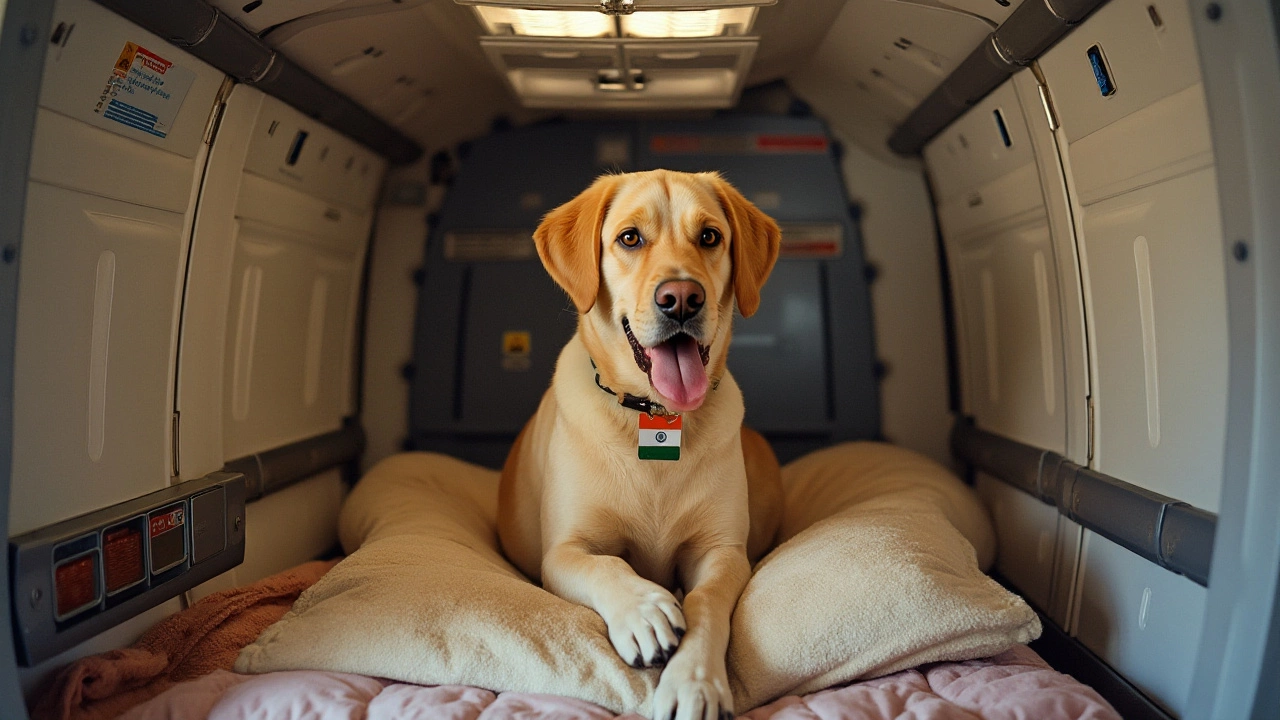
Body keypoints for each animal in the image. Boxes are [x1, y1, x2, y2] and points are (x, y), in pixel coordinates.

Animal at [496, 169, 778, 717]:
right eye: (630, 238)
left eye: (709, 236)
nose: (682, 298)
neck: (657, 417)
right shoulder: (563, 551)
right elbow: (605, 564)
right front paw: (644, 612)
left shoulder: (722, 551)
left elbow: (705, 602)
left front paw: (695, 681)